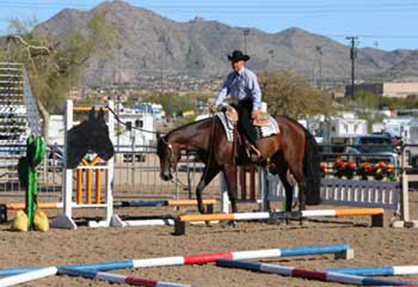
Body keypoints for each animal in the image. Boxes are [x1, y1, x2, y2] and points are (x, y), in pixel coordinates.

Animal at [157, 113, 320, 215]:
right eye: (158, 154)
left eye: (166, 153)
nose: (164, 175)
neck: (211, 135)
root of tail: (297, 126)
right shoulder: (214, 166)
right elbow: (199, 187)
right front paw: (202, 210)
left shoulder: (228, 166)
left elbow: (232, 192)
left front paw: (234, 217)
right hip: (281, 165)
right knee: (289, 187)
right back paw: (287, 214)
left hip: (293, 162)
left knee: (302, 182)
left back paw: (301, 214)